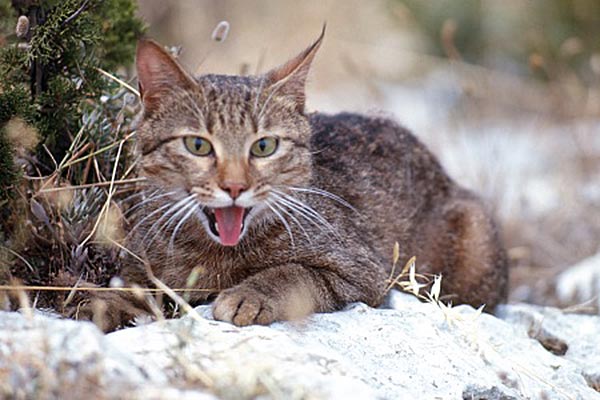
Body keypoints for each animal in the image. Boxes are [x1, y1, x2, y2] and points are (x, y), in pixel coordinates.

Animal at [90, 28, 510, 332]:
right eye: (198, 145)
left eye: (264, 146)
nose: (235, 186)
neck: (215, 255)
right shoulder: (141, 269)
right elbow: (126, 291)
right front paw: (99, 305)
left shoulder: (362, 272)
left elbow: (294, 273)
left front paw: (250, 295)